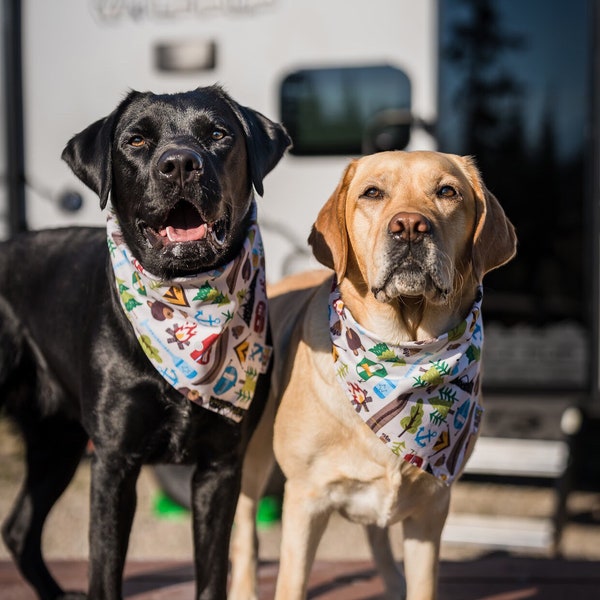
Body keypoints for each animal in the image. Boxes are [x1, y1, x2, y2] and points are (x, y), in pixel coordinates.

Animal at [0, 85, 290, 600]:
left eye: (218, 133)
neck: (186, 299)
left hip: (58, 439)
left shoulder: (221, 465)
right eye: (136, 140)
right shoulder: (114, 461)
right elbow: (105, 573)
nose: (180, 164)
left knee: (18, 528)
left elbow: (212, 575)